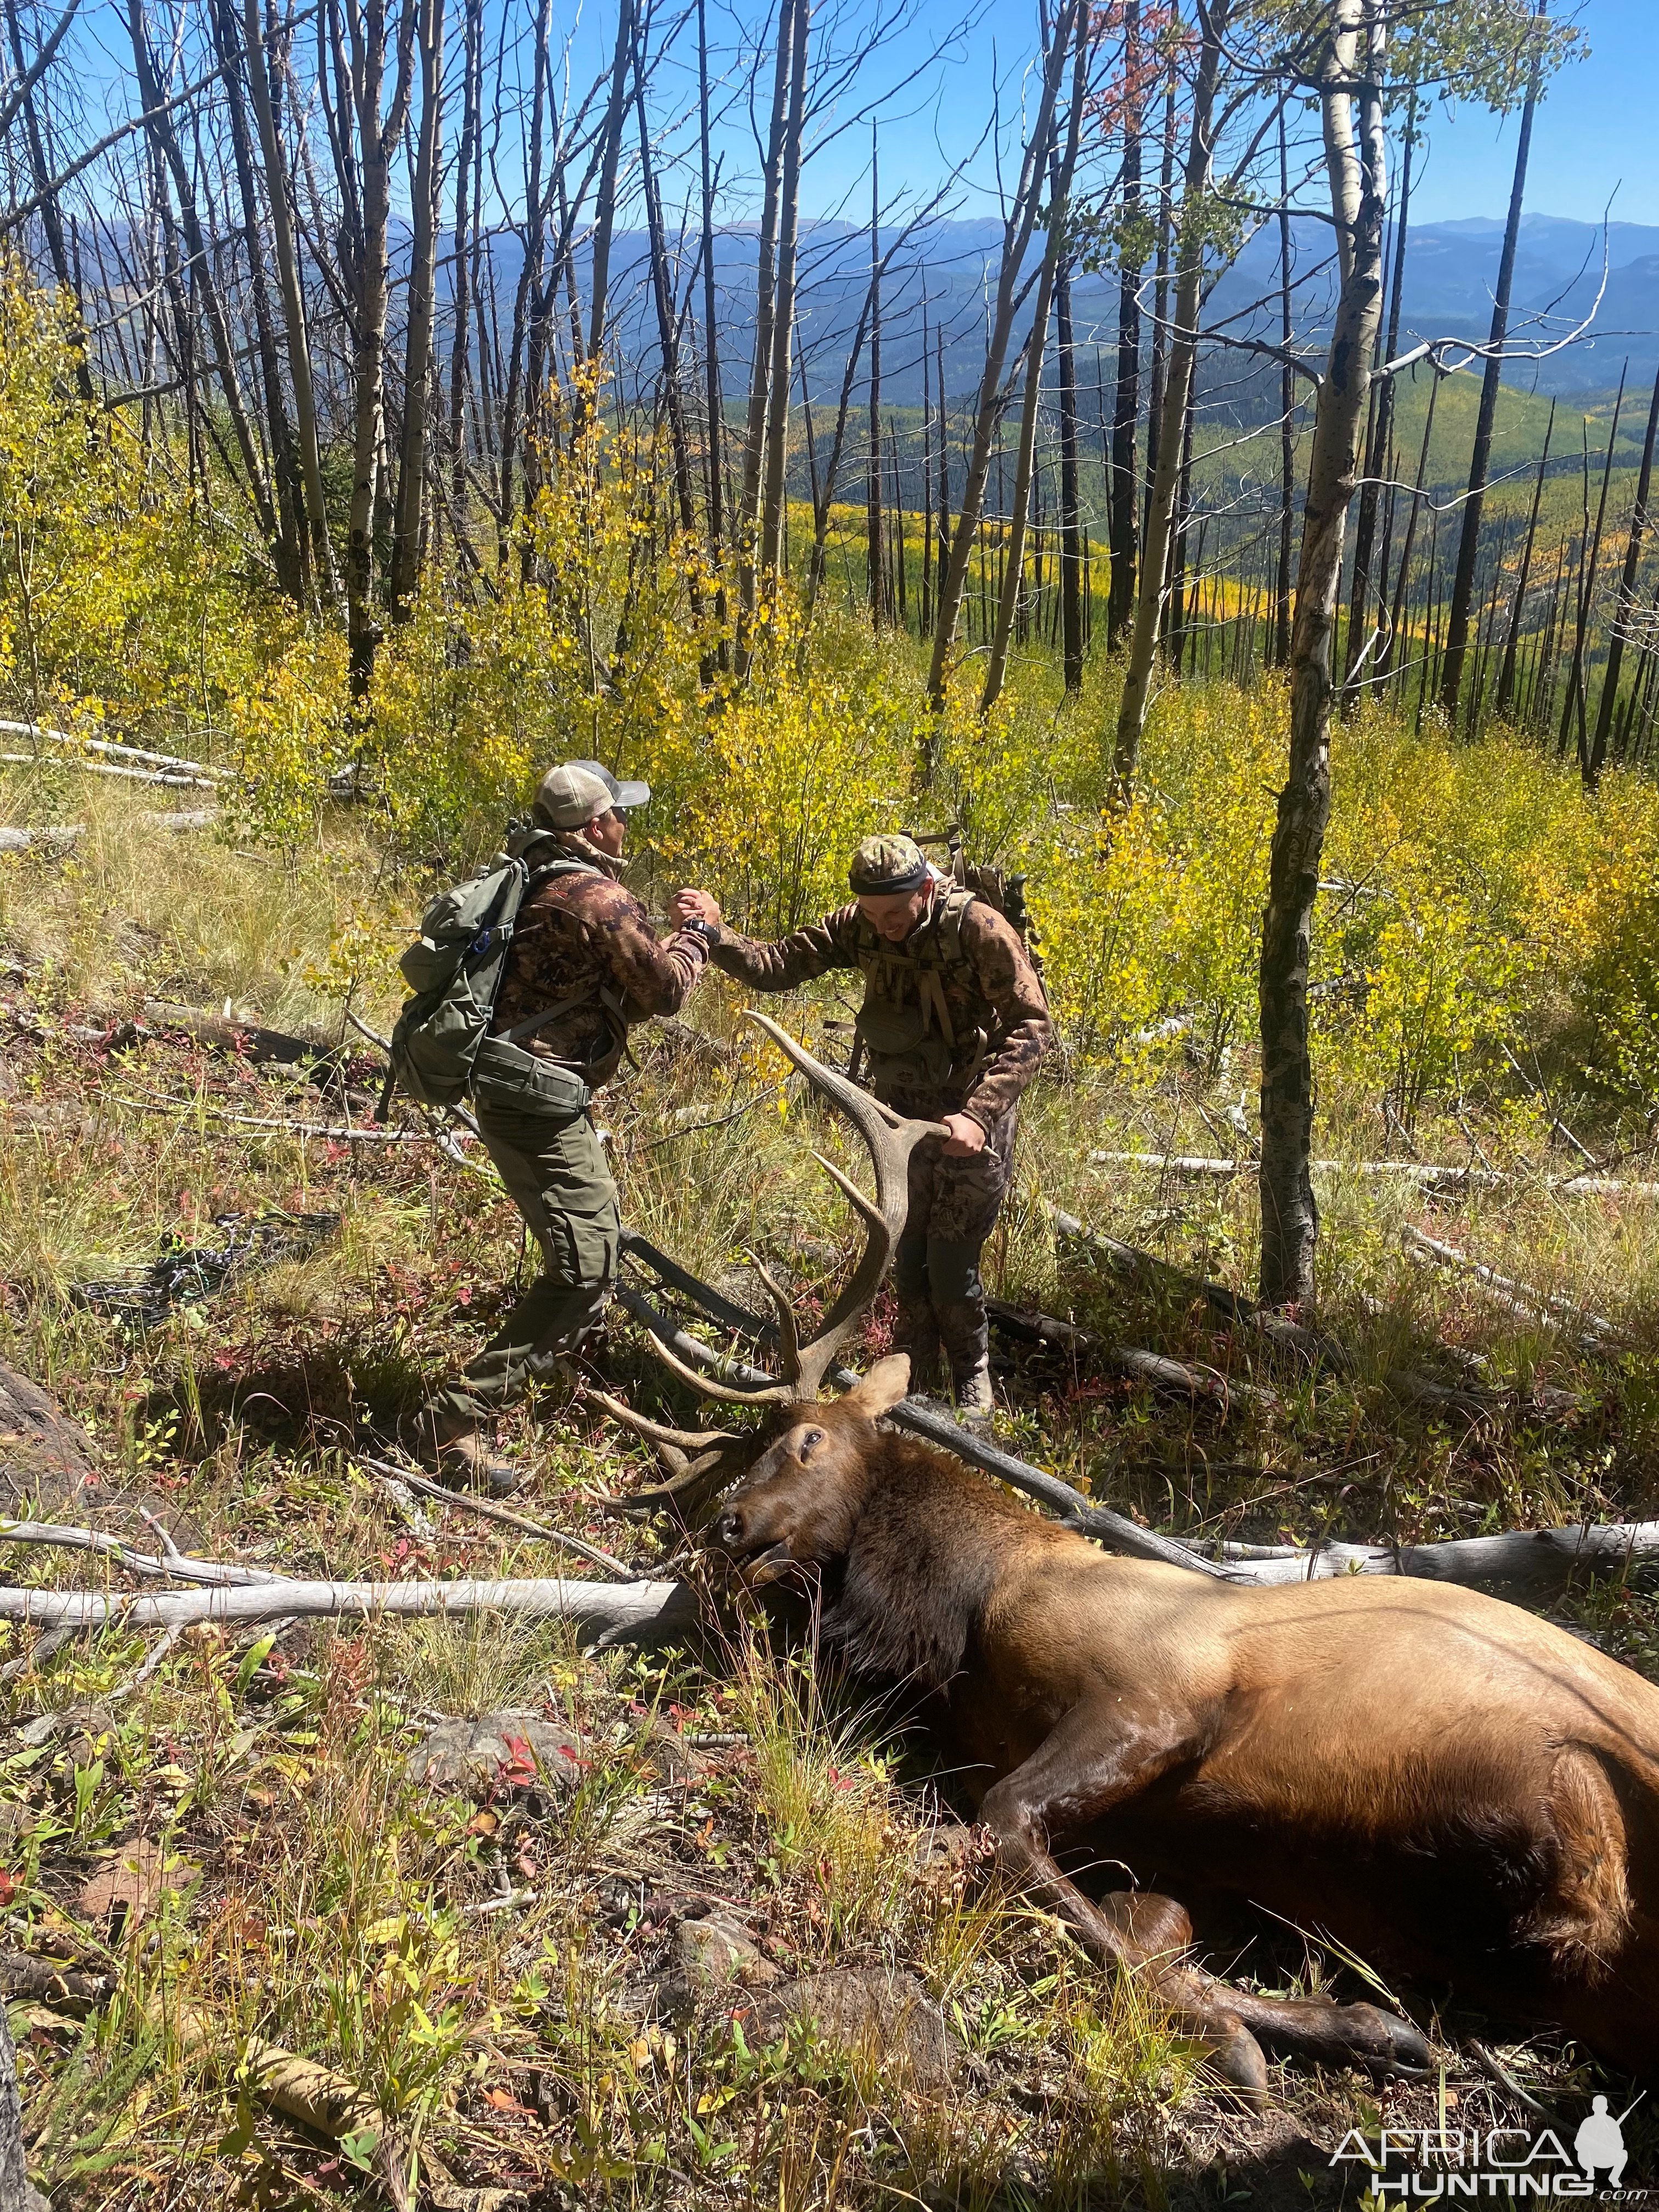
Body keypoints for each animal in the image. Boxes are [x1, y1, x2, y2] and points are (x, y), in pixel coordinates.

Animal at [601, 1017, 1659, 2088]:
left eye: (808, 1441)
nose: (728, 1525)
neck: (962, 1621)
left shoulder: (1152, 1694)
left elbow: (1009, 1825)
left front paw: (1244, 2030)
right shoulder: (1167, 1840)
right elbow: (1142, 1924)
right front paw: (1342, 2023)